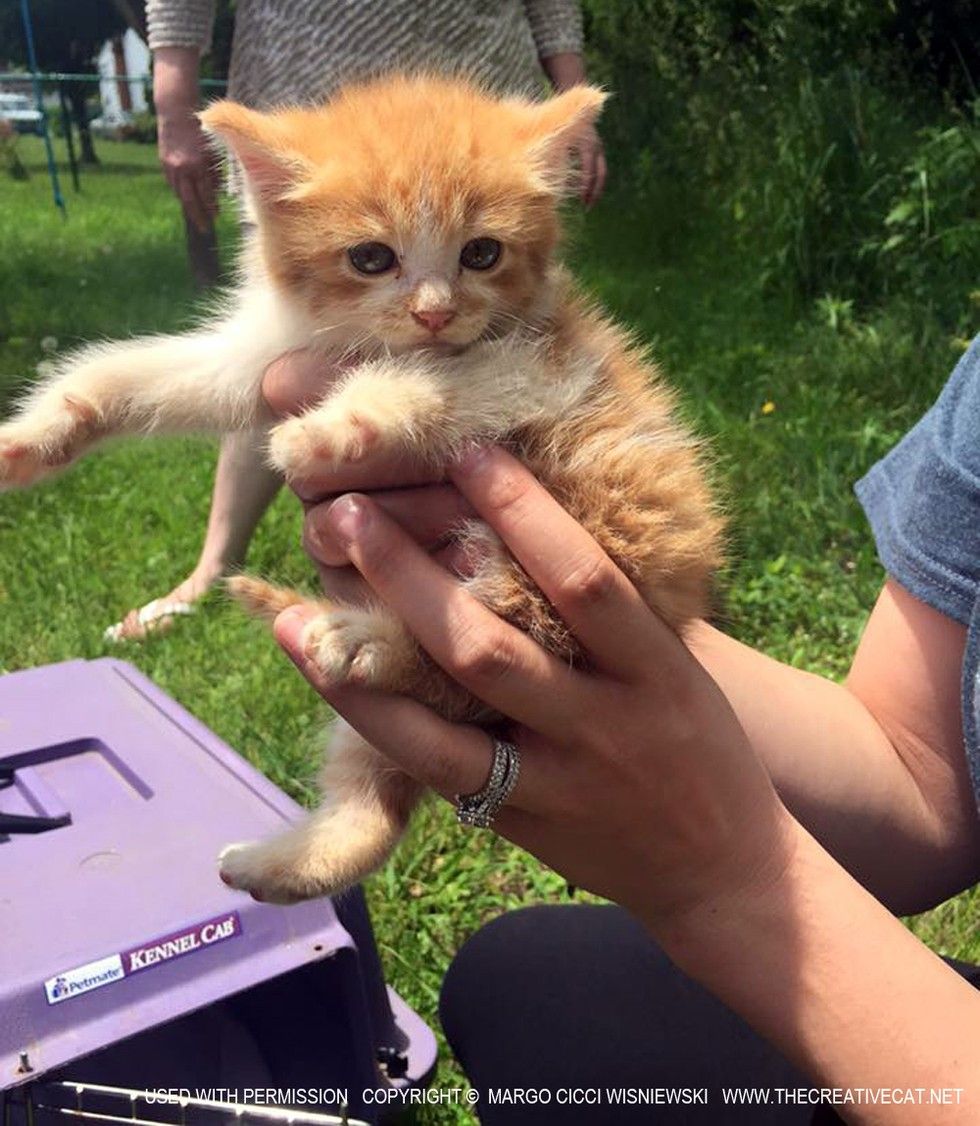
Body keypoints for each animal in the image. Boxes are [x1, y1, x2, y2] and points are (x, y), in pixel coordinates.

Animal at [0, 74, 723, 904]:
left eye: (482, 253)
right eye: (372, 257)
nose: (436, 312)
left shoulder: (538, 364)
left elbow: (430, 383)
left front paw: (326, 430)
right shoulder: (268, 354)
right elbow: (160, 378)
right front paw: (37, 433)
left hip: (590, 552)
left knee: (491, 650)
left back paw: (369, 642)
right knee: (378, 805)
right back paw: (274, 865)